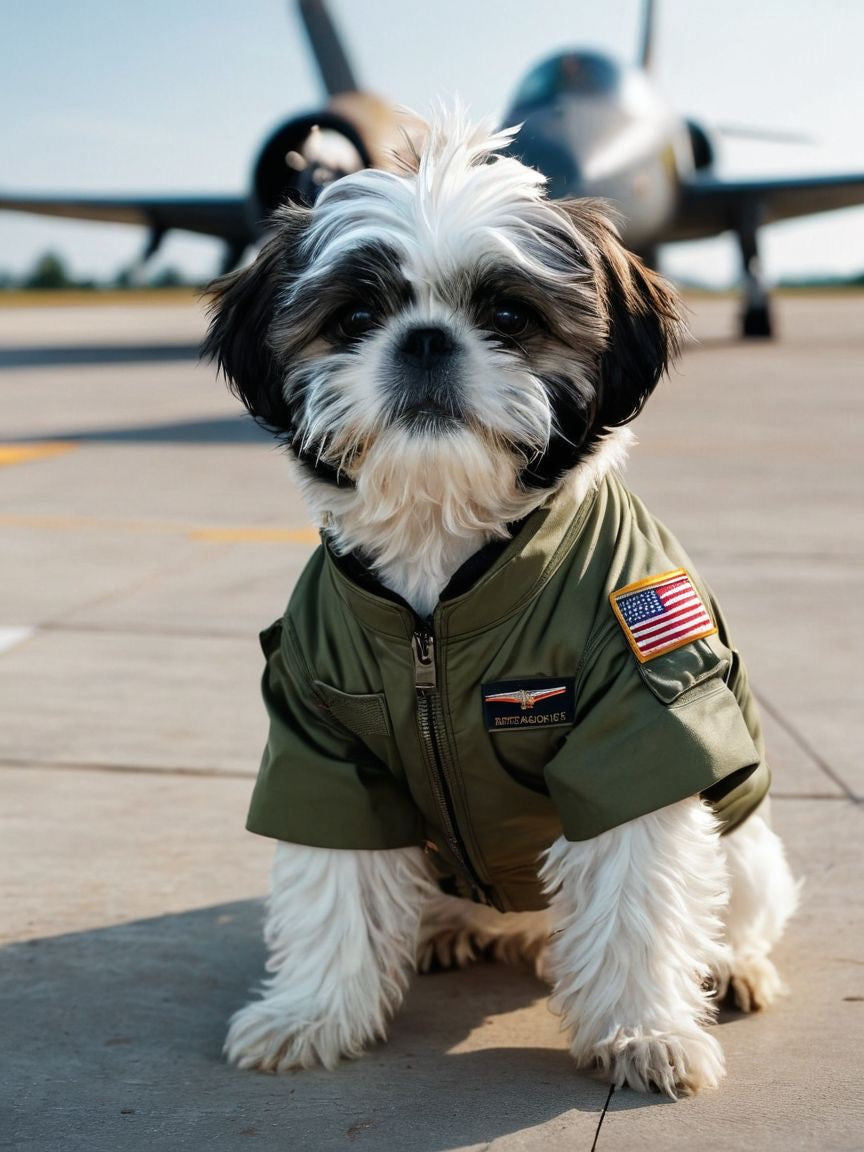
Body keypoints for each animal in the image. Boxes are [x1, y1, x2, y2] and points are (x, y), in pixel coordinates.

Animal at [202, 108, 797, 1096]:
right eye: (356, 316)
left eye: (510, 316)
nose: (426, 339)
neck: (442, 586)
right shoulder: (320, 736)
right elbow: (333, 874)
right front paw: (313, 1013)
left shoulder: (639, 716)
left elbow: (636, 892)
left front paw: (643, 1031)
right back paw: (447, 926)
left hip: (742, 828)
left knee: (735, 897)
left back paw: (731, 966)